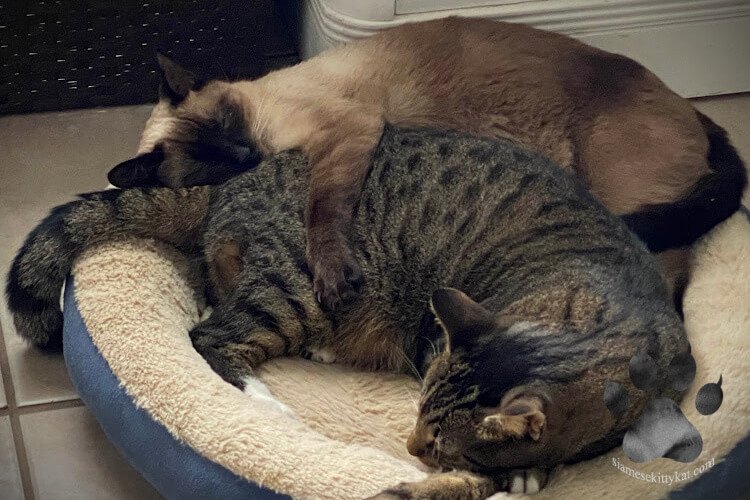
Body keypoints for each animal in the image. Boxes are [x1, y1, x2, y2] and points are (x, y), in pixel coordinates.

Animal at [5, 128, 692, 496]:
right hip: (296, 287)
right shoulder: (433, 343)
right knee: (211, 337)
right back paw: (269, 401)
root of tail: (234, 183)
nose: (411, 446)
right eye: (424, 431)